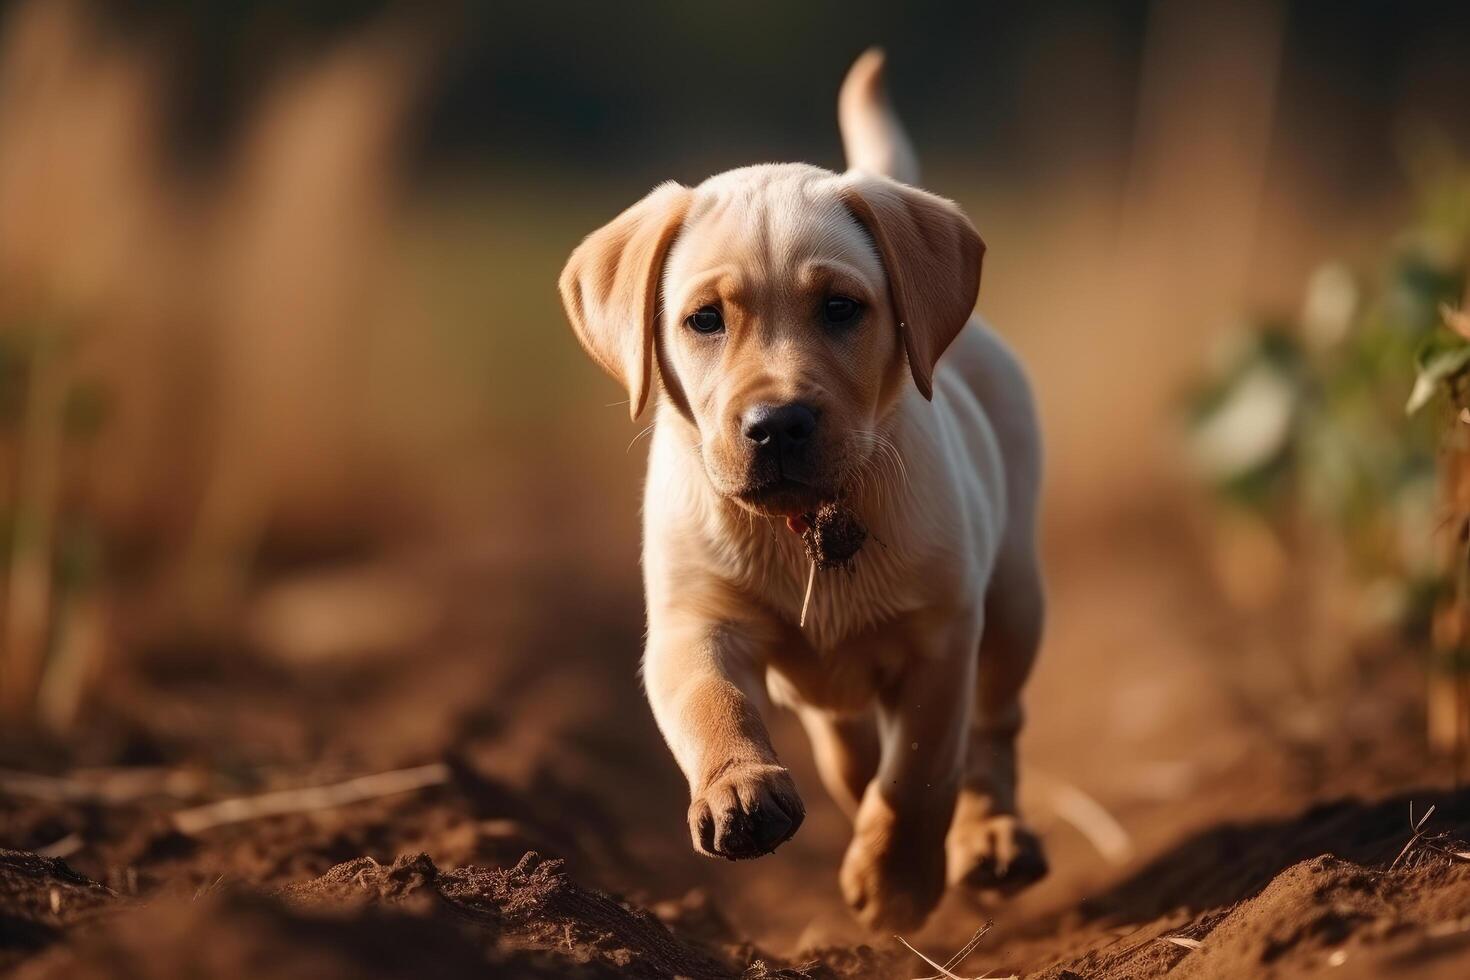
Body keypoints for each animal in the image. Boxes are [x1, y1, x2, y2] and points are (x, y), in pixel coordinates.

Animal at [552, 49, 1046, 934]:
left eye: (842, 308)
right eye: (704, 320)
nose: (777, 424)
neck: (807, 522)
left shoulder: (940, 636)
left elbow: (919, 771)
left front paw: (896, 882)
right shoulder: (691, 623)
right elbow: (713, 704)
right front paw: (739, 791)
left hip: (1016, 600)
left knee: (992, 730)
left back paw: (988, 837)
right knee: (849, 751)